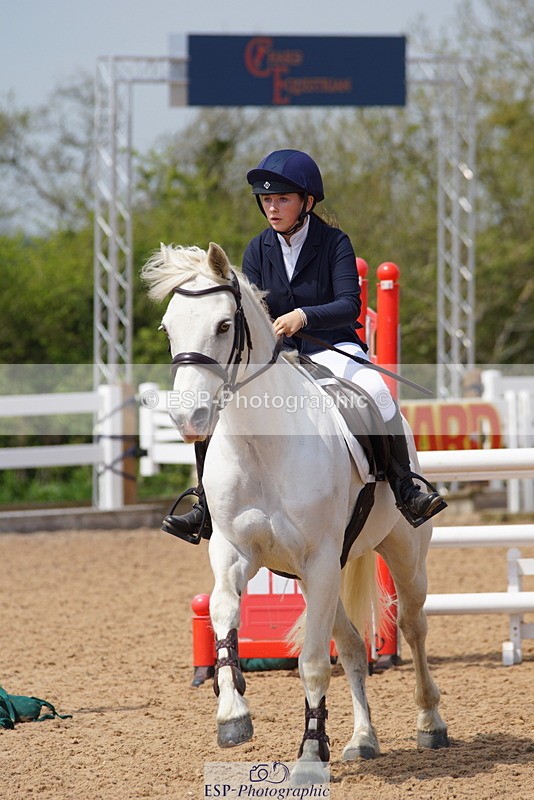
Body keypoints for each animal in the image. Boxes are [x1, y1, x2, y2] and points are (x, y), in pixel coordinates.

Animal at [141, 241, 448, 783]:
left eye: (224, 324)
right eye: (168, 327)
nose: (187, 418)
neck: (261, 443)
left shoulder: (320, 560)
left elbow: (313, 663)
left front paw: (308, 755)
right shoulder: (234, 553)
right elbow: (224, 616)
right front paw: (233, 717)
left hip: (402, 555)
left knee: (413, 627)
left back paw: (430, 723)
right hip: (317, 577)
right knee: (353, 646)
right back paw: (362, 740)